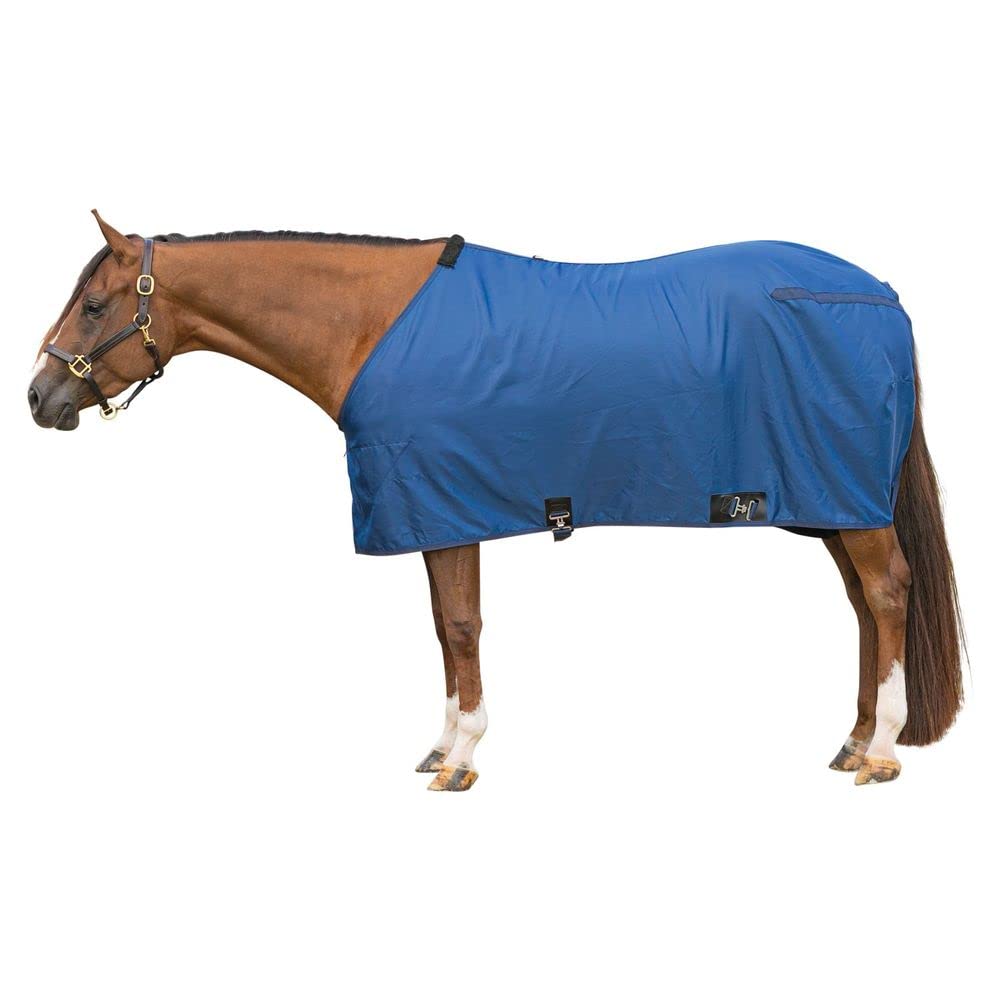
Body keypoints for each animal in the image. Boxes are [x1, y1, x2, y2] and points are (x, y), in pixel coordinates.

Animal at [28, 211, 963, 791]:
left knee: (886, 593)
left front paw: (461, 757)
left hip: (849, 501)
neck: (369, 325)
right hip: (830, 503)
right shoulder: (437, 508)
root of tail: (879, 295)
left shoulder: (445, 505)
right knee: (863, 605)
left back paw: (882, 751)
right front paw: (442, 744)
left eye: (97, 305)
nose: (39, 398)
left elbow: (460, 626)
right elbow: (444, 630)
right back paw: (854, 740)